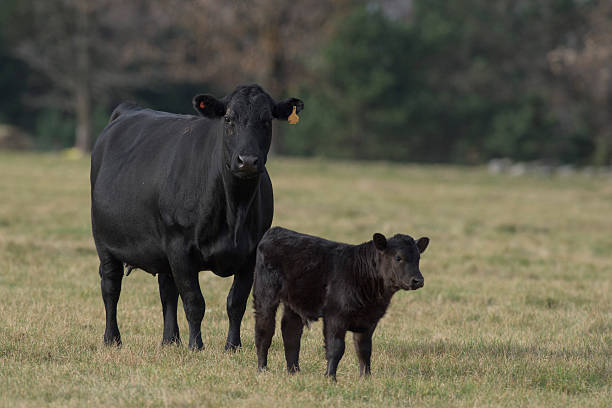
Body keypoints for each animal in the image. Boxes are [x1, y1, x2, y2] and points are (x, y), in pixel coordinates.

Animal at [90, 84, 304, 350]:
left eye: (266, 120)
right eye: (228, 119)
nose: (247, 161)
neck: (234, 210)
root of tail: (128, 109)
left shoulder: (251, 253)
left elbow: (236, 302)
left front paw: (232, 347)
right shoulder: (180, 247)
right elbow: (194, 301)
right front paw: (196, 346)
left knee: (167, 290)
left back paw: (170, 340)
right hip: (104, 243)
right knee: (111, 287)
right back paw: (112, 339)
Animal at [251, 228, 428, 380]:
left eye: (418, 258)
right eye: (398, 257)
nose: (418, 280)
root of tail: (276, 231)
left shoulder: (369, 320)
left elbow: (364, 349)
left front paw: (366, 377)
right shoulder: (335, 315)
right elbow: (336, 348)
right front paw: (331, 377)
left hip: (294, 302)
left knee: (291, 333)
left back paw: (294, 371)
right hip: (264, 295)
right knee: (264, 330)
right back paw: (262, 369)